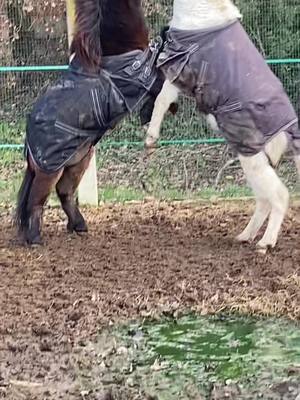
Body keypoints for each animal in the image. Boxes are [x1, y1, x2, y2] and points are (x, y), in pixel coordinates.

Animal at [14, 0, 173, 245]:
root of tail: (30, 146)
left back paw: (78, 225)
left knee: (65, 192)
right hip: (49, 169)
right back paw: (35, 238)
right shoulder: (144, 75)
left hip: (78, 160)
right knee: (36, 201)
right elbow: (161, 71)